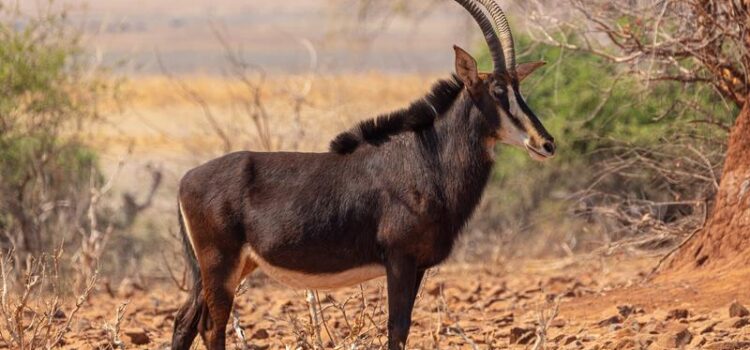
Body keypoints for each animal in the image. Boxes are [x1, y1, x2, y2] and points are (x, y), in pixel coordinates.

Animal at [172, 1, 560, 348]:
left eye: (519, 89)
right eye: (497, 90)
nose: (546, 143)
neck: (426, 158)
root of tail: (185, 179)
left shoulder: (418, 265)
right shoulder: (399, 259)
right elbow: (397, 329)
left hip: (227, 268)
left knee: (184, 322)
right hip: (220, 265)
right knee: (212, 327)